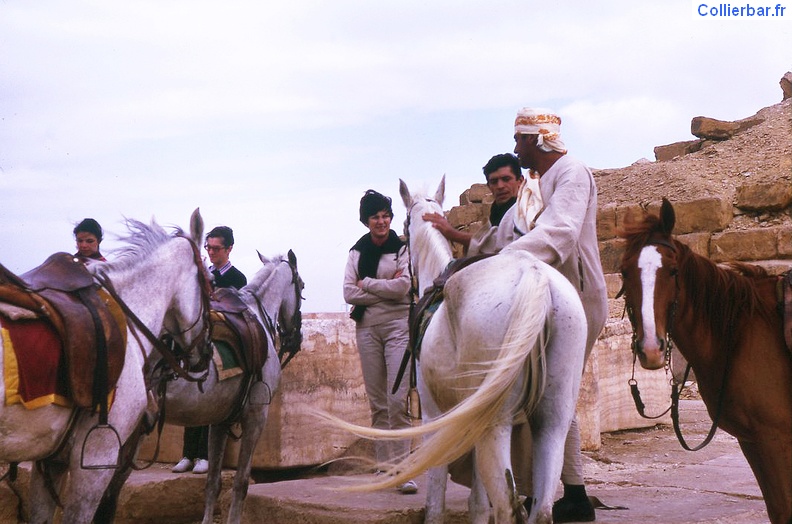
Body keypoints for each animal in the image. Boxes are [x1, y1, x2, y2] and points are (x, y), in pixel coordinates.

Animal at [155, 250, 304, 524]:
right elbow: (240, 482)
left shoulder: (219, 419)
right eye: (302, 285)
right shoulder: (256, 416)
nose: (295, 338)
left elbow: (213, 482)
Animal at [320, 178, 588, 520]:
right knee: (541, 506)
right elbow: (477, 501)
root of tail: (535, 276)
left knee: (507, 505)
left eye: (403, 225)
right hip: (553, 415)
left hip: (494, 422)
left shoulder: (435, 415)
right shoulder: (466, 416)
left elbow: (437, 494)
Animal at [620, 198, 792, 524]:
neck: (739, 332)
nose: (651, 349)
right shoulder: (753, 442)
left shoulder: (775, 439)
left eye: (673, 271)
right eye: (624, 273)